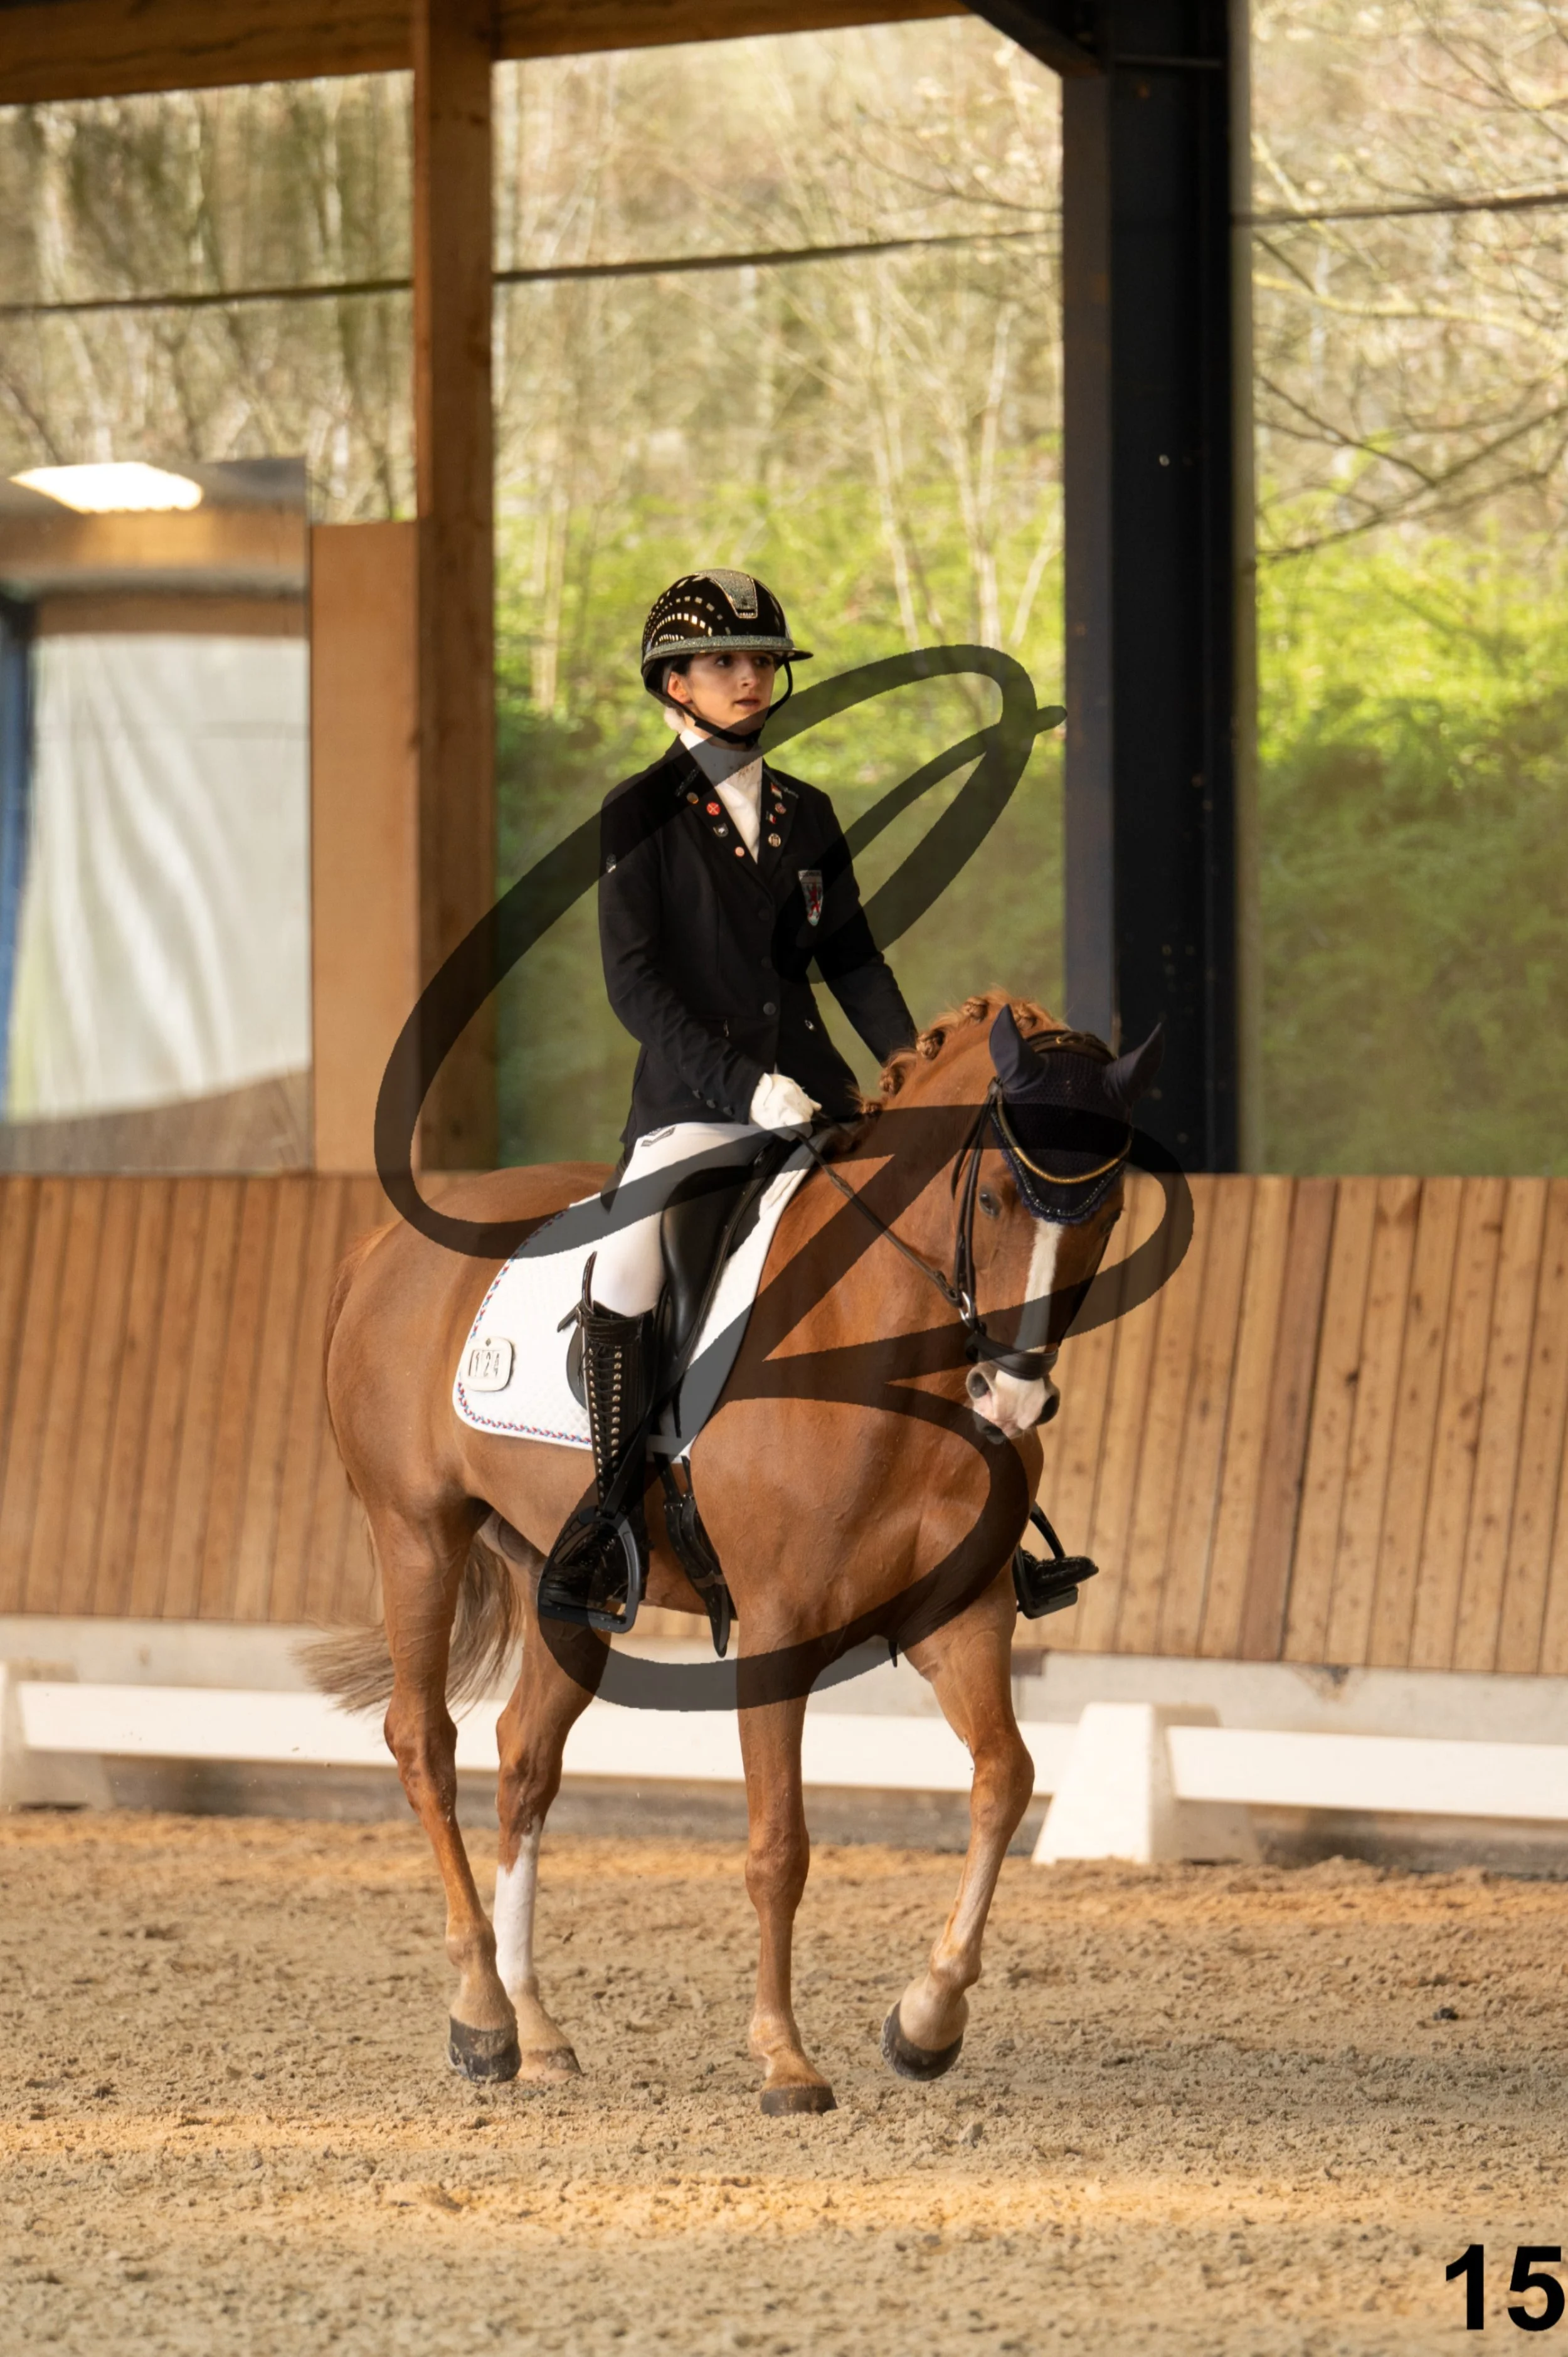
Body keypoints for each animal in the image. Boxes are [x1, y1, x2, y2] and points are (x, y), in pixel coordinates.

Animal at [310, 991, 1158, 2113]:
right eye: (991, 1201)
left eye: (1104, 1213)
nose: (1011, 1397)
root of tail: (381, 1248)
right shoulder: (779, 1628)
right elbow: (779, 1846)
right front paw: (785, 2057)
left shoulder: (959, 1615)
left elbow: (1006, 1780)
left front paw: (927, 2018)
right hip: (416, 1534)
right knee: (425, 1742)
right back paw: (483, 2016)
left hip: (562, 1580)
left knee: (525, 1758)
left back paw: (537, 2025)